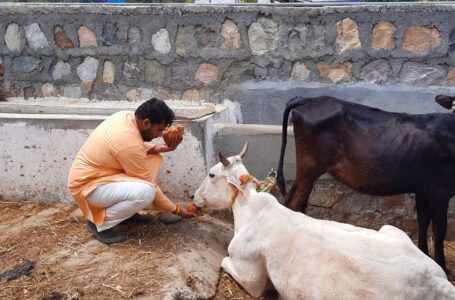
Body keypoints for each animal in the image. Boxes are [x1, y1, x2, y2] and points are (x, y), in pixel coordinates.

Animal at [192, 143, 455, 300]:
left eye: (211, 174)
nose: (193, 196)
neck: (250, 210)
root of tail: (438, 283)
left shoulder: (249, 274)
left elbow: (226, 262)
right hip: (391, 229)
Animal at [276, 96, 455, 276]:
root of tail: (309, 99)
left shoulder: (423, 189)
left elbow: (423, 220)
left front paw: (424, 256)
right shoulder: (441, 190)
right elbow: (440, 228)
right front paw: (442, 267)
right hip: (309, 166)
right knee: (295, 202)